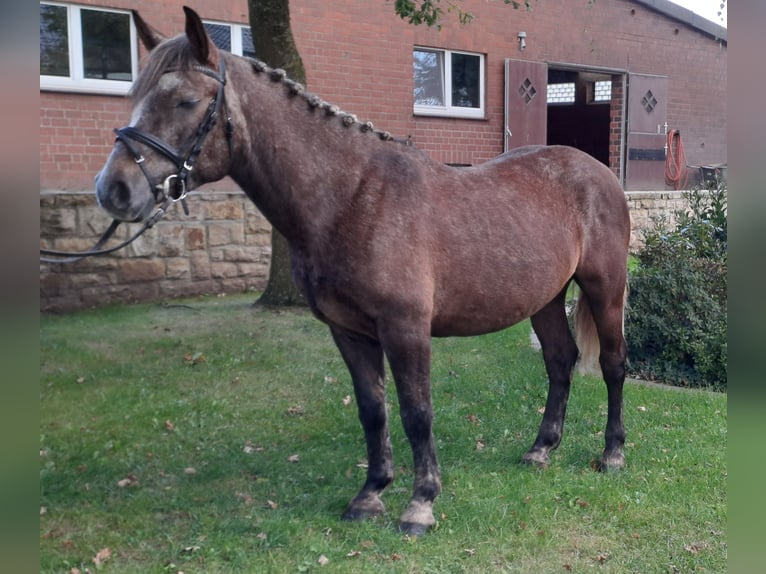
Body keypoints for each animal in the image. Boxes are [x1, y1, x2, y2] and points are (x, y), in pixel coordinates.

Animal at [96, 6, 632, 540]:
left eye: (186, 100)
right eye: (135, 96)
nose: (113, 189)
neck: (351, 197)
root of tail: (599, 172)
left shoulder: (405, 329)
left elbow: (417, 412)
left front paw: (420, 504)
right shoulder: (349, 332)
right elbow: (373, 411)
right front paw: (370, 495)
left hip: (605, 290)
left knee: (611, 363)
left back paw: (612, 454)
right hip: (546, 298)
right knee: (560, 361)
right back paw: (541, 448)